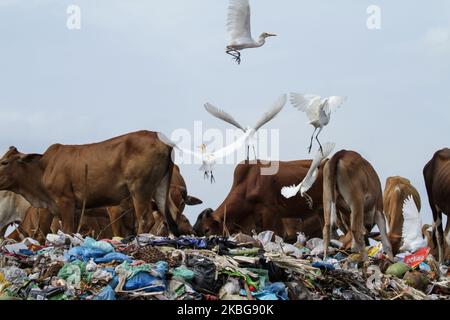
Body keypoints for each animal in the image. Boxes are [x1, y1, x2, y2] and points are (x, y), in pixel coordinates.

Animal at [0, 131, 181, 236]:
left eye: (5, 162)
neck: (43, 168)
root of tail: (163, 141)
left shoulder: (66, 201)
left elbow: (66, 231)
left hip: (140, 189)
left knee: (145, 219)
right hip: (160, 187)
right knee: (172, 214)